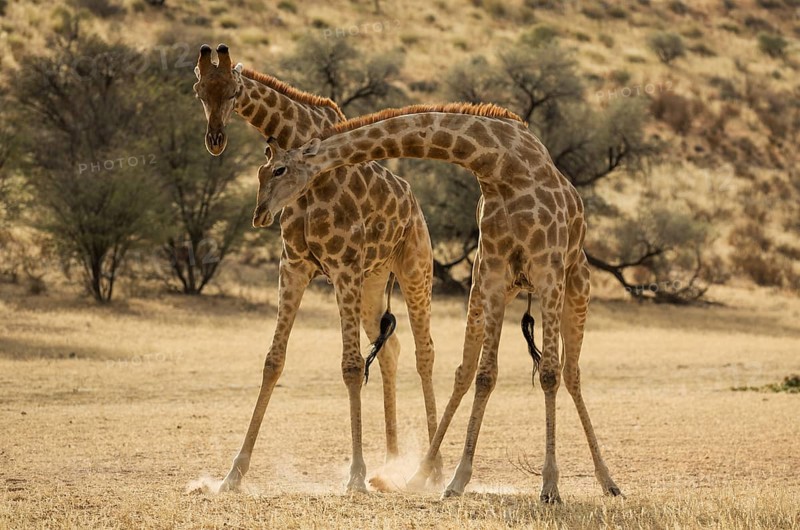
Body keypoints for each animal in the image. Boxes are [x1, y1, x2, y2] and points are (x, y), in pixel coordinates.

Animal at [193, 44, 442, 492]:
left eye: (234, 91)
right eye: (198, 89)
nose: (216, 140)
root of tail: (413, 201)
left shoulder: (342, 265)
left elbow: (350, 365)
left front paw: (355, 476)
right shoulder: (294, 265)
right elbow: (273, 361)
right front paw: (231, 476)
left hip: (414, 268)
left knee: (424, 351)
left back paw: (434, 469)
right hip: (372, 283)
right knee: (392, 346)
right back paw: (392, 462)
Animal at [254, 103, 623, 502]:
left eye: (279, 169)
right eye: (261, 171)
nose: (260, 213)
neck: (500, 167)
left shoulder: (547, 272)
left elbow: (550, 374)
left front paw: (551, 486)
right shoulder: (495, 273)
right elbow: (485, 374)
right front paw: (457, 479)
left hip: (575, 287)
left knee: (570, 374)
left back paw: (608, 480)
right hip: (484, 291)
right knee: (466, 372)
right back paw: (421, 475)